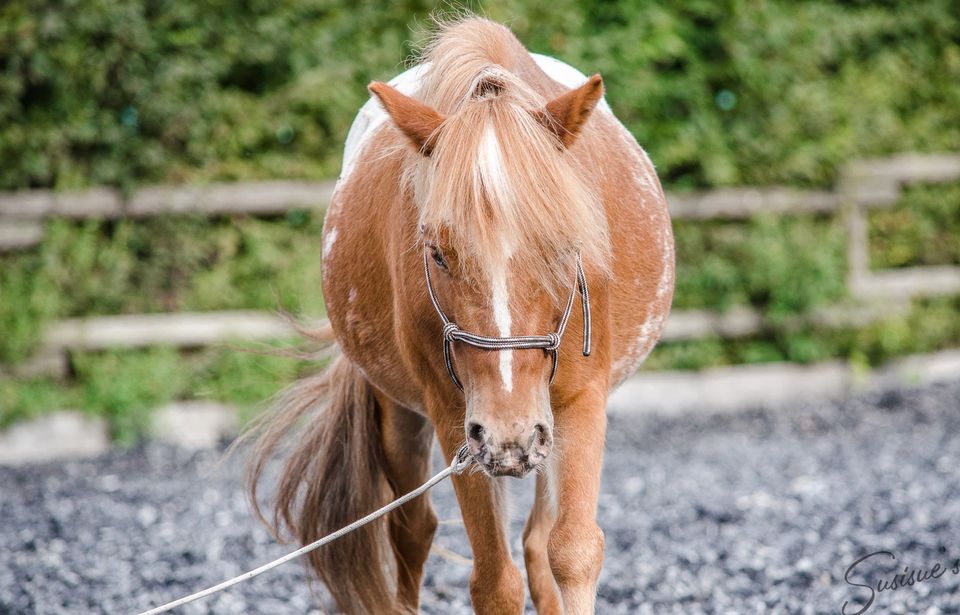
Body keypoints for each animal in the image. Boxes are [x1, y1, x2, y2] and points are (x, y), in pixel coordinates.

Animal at [244, 14, 672, 615]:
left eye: (566, 247)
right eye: (438, 253)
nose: (509, 434)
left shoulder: (580, 403)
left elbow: (572, 552)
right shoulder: (456, 416)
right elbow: (494, 582)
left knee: (538, 542)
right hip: (405, 413)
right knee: (411, 530)